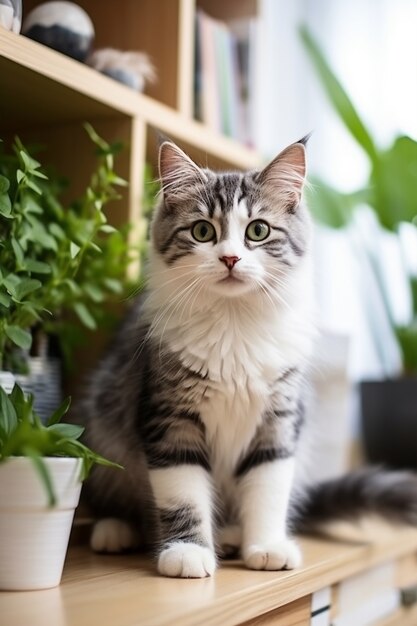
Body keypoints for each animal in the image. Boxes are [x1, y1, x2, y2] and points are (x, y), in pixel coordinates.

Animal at [79, 136, 416, 576]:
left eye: (258, 230)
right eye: (203, 231)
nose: (230, 258)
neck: (234, 322)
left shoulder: (279, 420)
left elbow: (267, 490)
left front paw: (266, 547)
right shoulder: (169, 418)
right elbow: (183, 494)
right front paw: (187, 553)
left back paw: (231, 535)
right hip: (104, 425)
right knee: (114, 498)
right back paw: (116, 530)